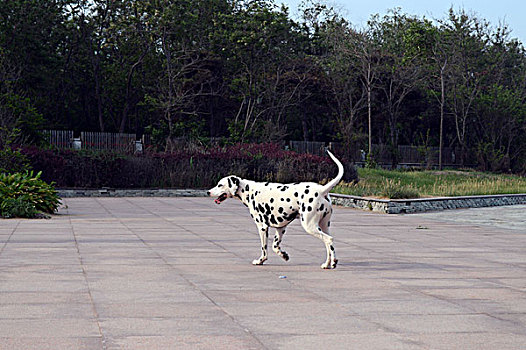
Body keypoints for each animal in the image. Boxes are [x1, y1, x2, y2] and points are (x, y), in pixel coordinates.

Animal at [208, 150, 344, 268]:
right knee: (328, 244)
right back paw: (327, 264)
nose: (208, 191)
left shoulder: (262, 227)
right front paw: (284, 255)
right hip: (323, 226)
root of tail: (321, 190)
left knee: (329, 240)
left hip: (310, 226)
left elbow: (264, 248)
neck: (249, 190)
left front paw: (260, 261)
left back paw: (333, 262)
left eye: (220, 185)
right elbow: (275, 246)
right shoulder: (280, 228)